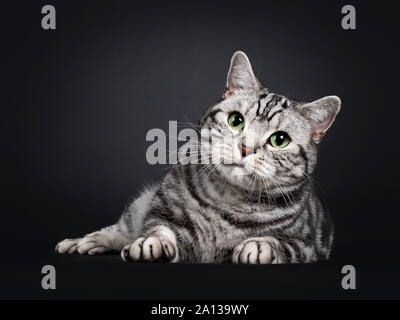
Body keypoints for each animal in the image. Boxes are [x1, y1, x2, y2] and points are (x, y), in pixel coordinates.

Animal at [55, 51, 340, 264]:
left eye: (279, 140)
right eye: (236, 121)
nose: (245, 147)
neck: (228, 201)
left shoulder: (309, 245)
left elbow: (283, 244)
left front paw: (260, 246)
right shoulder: (163, 209)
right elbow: (157, 228)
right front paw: (152, 243)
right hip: (140, 205)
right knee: (121, 228)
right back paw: (85, 242)